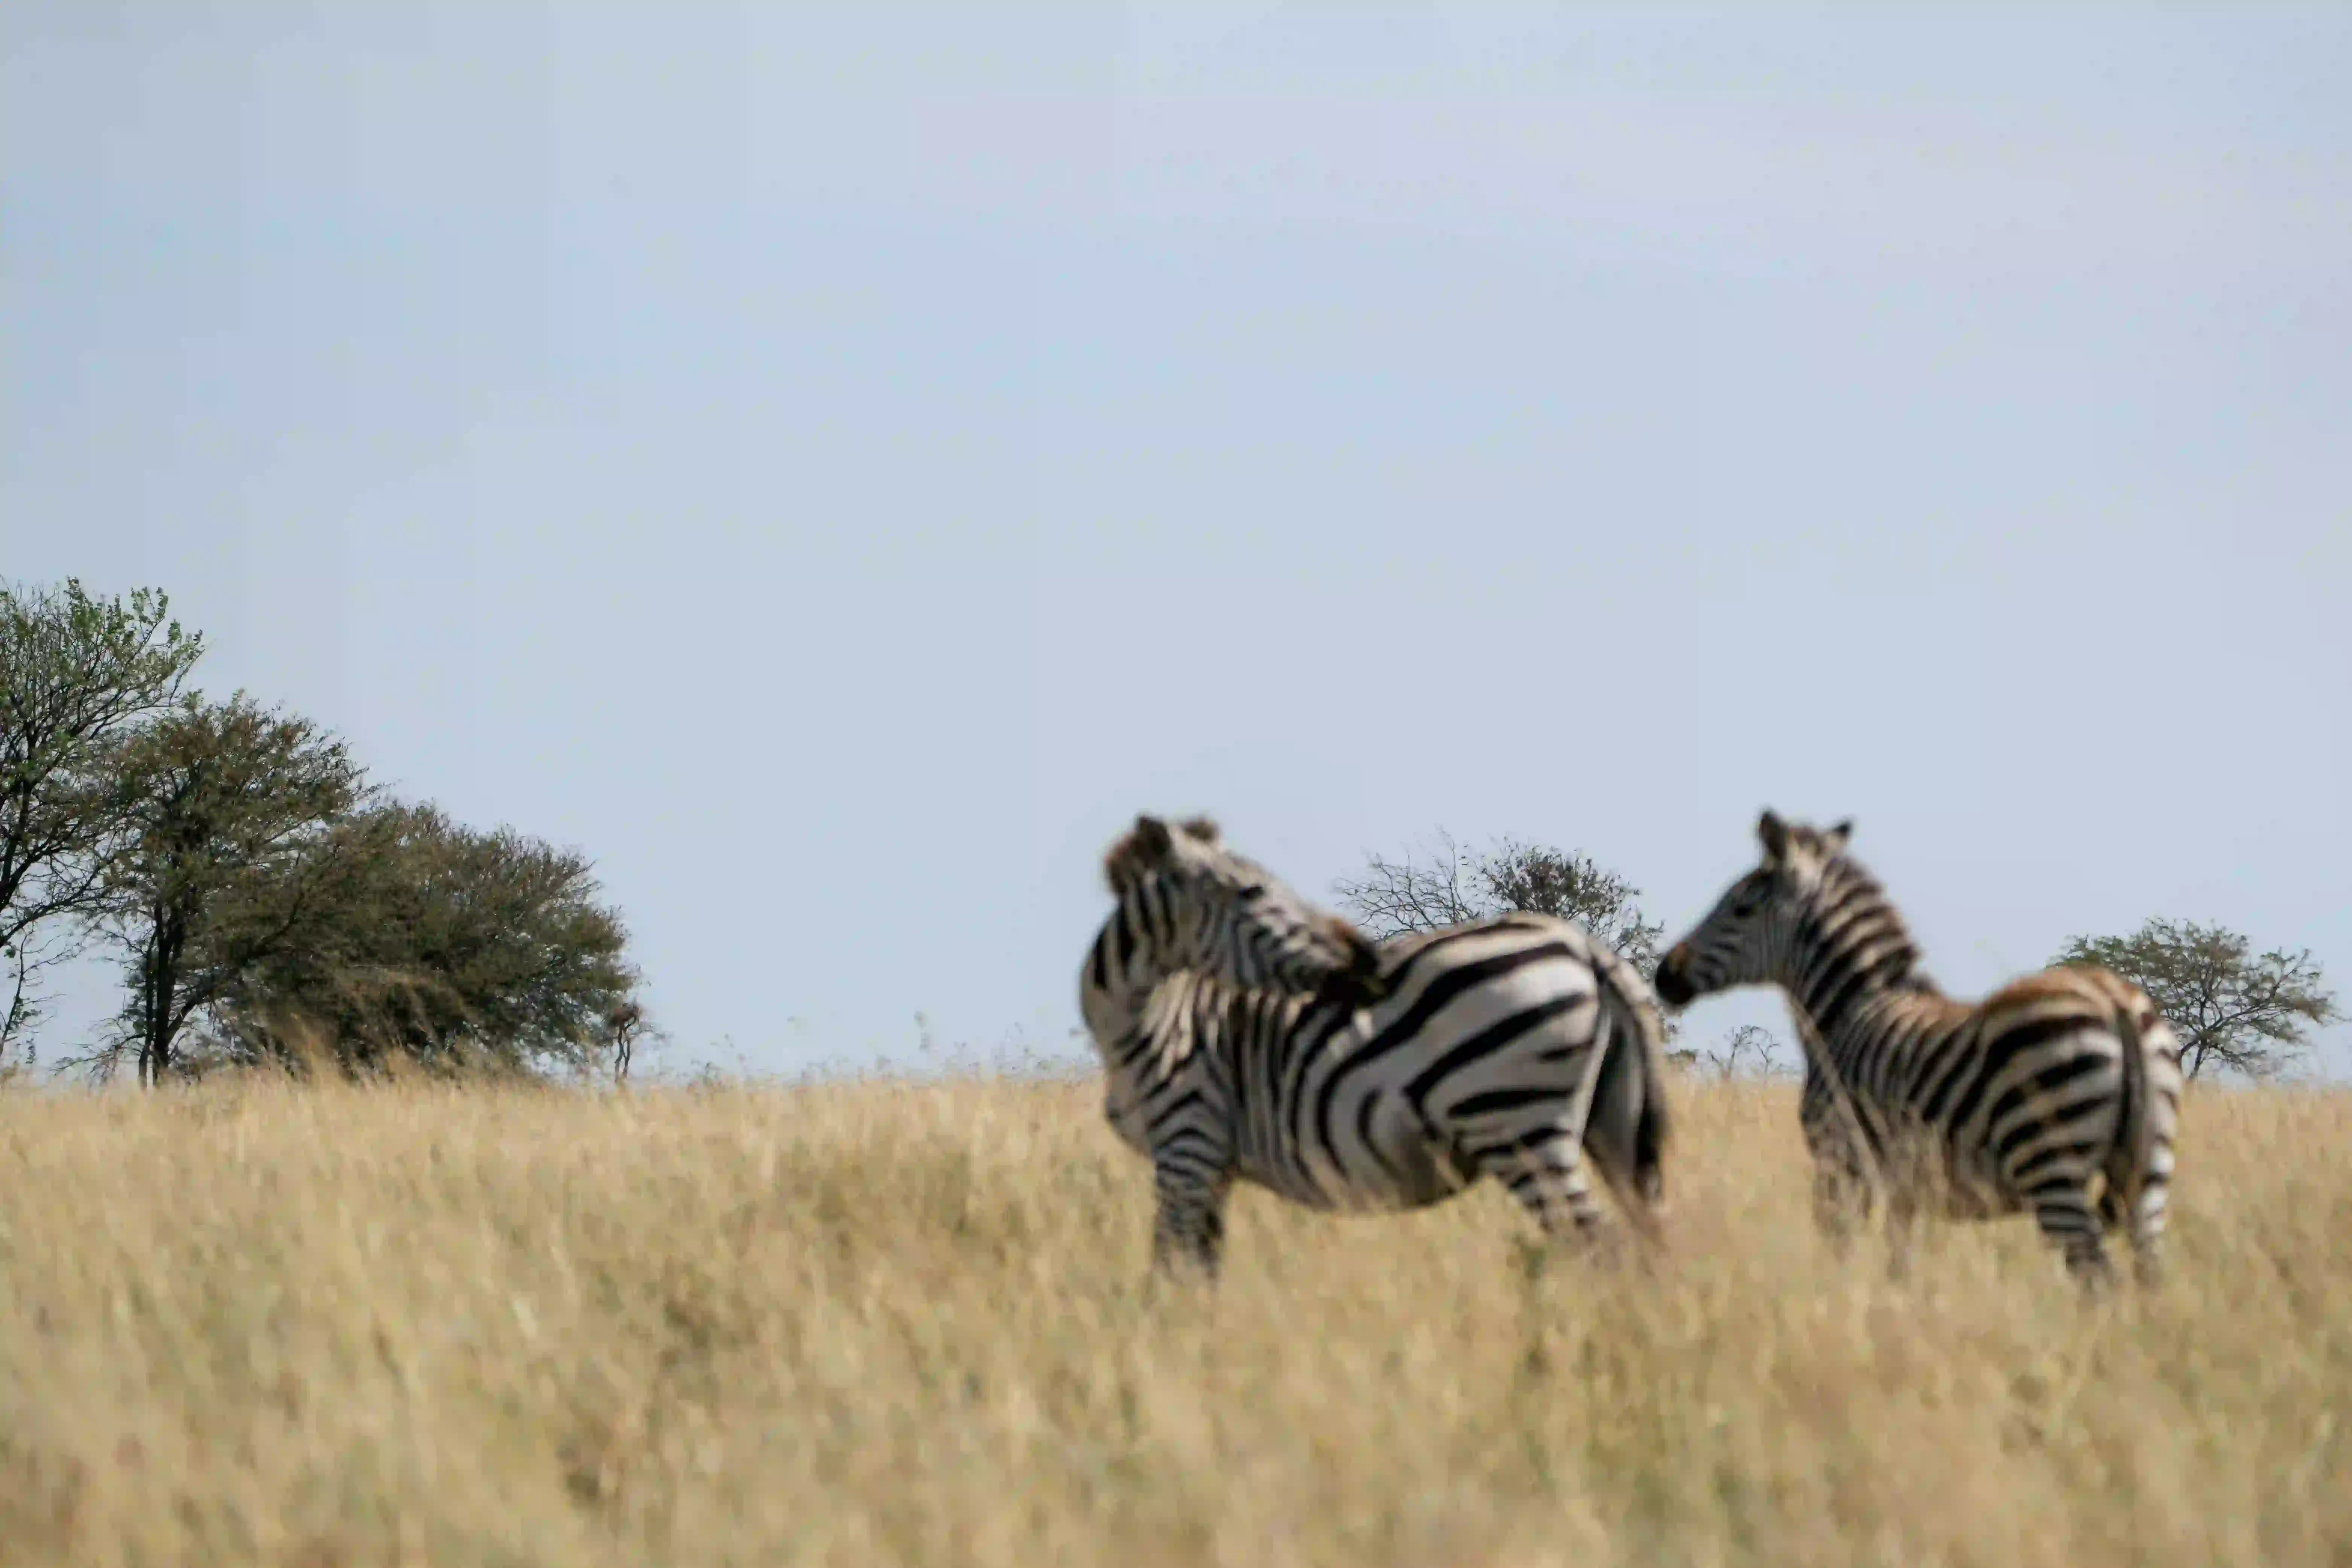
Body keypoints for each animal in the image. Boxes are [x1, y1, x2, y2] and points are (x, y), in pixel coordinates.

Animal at [1079, 813, 1673, 1280]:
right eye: (1250, 894)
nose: (1363, 960)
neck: (1153, 1017)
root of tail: (1583, 947)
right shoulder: (1208, 1169)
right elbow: (1199, 1276)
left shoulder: (1188, 1143)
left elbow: (1166, 1278)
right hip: (1611, 1125)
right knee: (1644, 1243)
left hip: (1515, 1122)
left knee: (1599, 1247)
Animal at [1652, 810, 2184, 1287]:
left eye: (1739, 908)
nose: (1663, 975)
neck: (1846, 1011)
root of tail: (2113, 999)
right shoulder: (1903, 1187)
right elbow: (1899, 1267)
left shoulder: (1838, 1164)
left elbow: (1839, 1254)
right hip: (2148, 1174)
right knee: (2149, 1277)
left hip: (2050, 1161)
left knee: (2098, 1281)